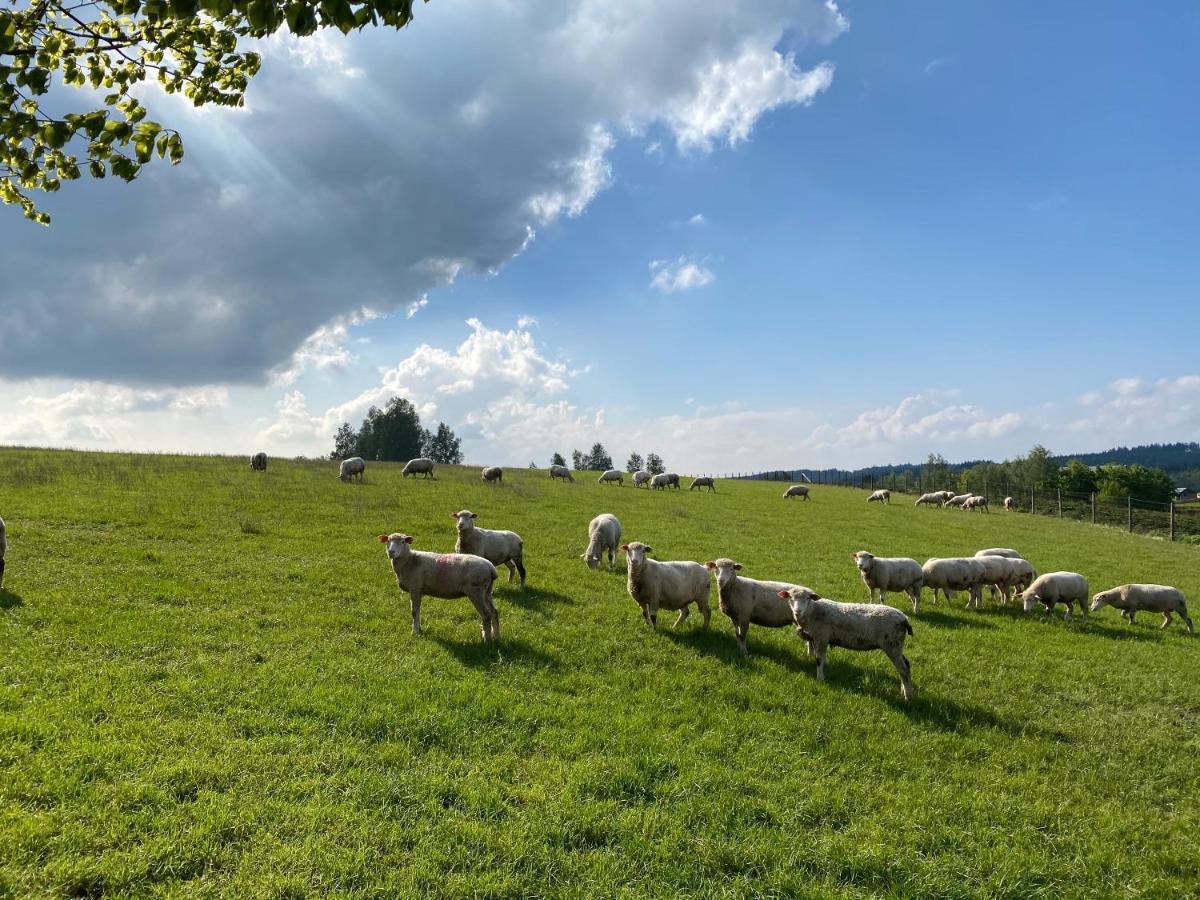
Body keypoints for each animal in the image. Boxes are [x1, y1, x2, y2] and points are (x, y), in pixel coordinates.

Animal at [782, 585, 912, 705]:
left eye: (808, 598)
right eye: (790, 598)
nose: (797, 611)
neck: (813, 611)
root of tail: (904, 618)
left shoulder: (821, 638)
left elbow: (819, 660)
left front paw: (820, 679)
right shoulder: (818, 639)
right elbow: (821, 658)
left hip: (892, 644)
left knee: (903, 669)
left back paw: (908, 696)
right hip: (897, 644)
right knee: (905, 665)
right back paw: (903, 691)